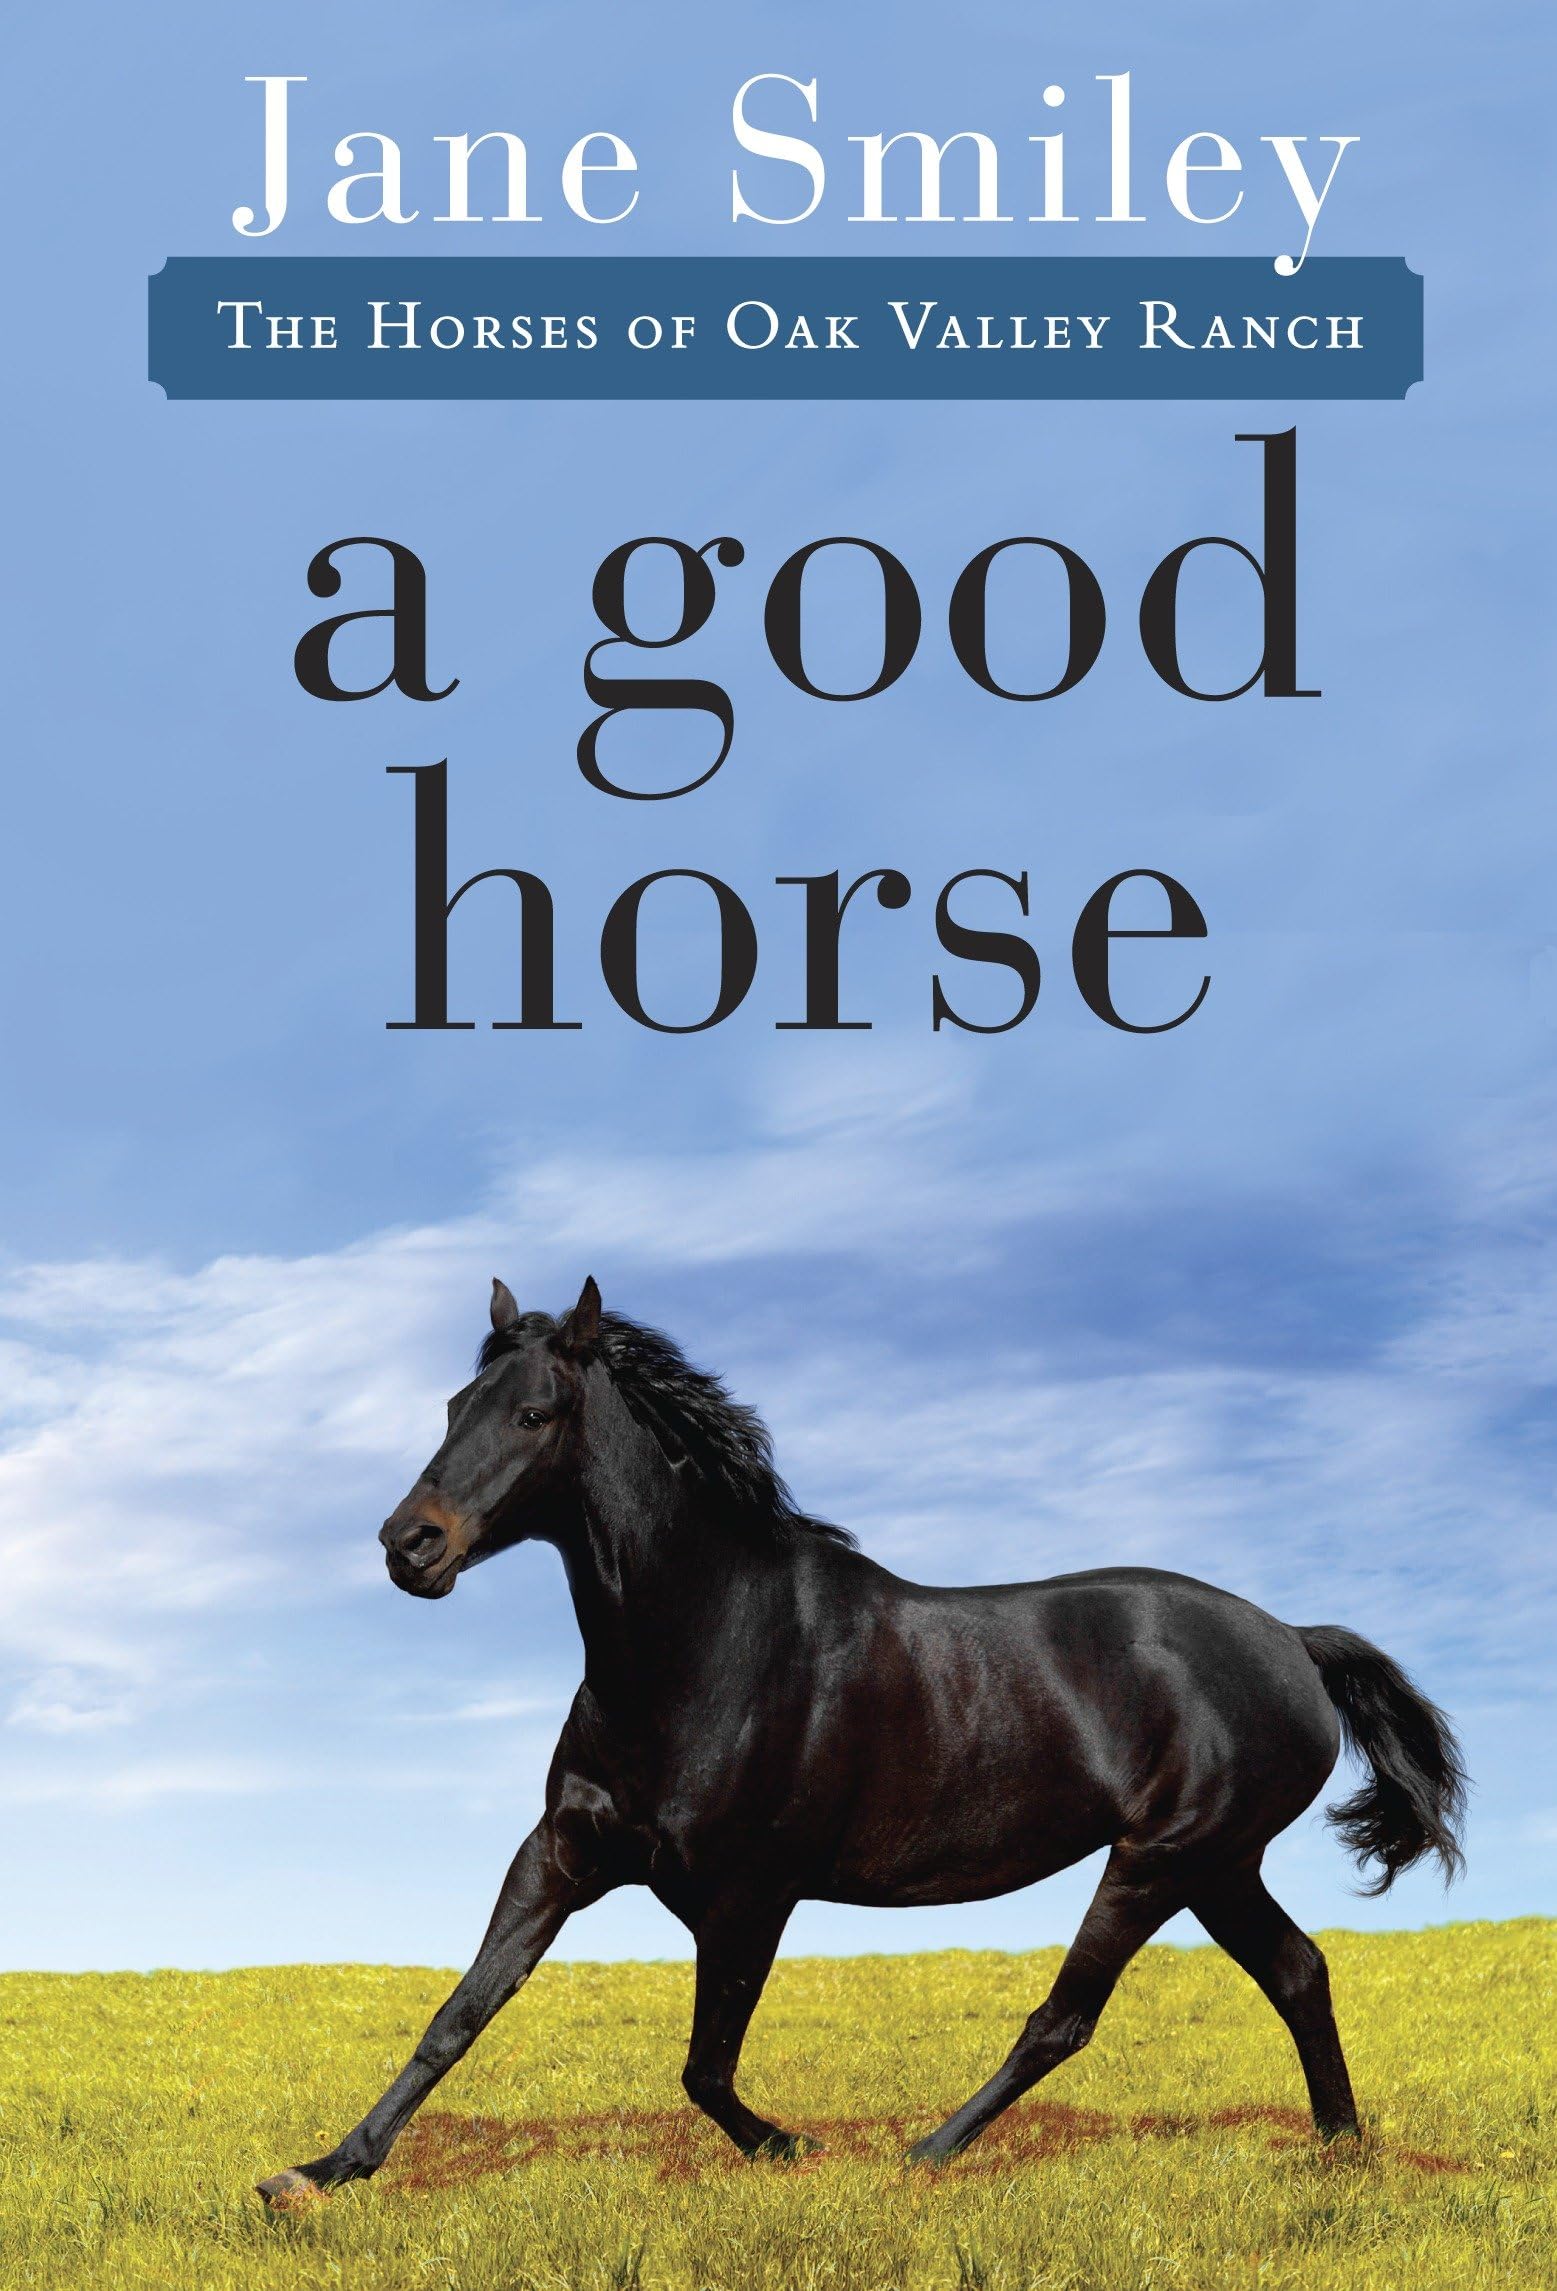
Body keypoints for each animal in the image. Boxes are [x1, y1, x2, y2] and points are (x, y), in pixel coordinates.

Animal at [257, 1276, 1466, 2202]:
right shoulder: (561, 1853)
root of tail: (1293, 1641)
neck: (708, 1644)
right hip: (1217, 1865)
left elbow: (703, 2067)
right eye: (455, 1400)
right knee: (1299, 1971)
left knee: (1065, 2015)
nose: (409, 1544)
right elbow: (461, 2010)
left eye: (536, 1412)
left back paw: (926, 2151)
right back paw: (1340, 2148)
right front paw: (317, 2173)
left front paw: (792, 2145)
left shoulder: (749, 1892)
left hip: (1161, 1860)